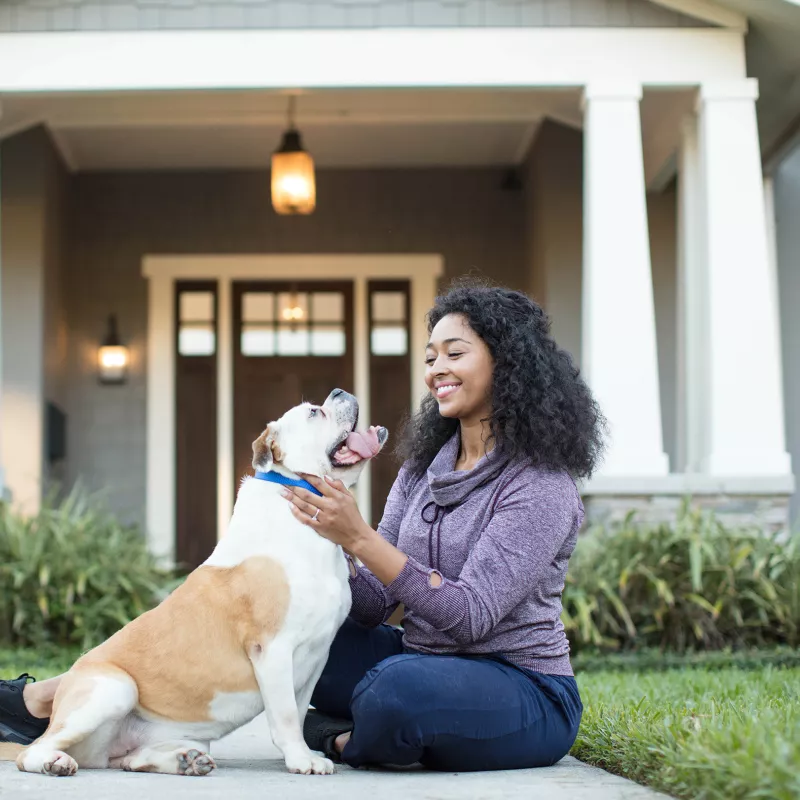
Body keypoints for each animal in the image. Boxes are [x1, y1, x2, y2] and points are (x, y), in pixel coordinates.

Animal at [3, 390, 388, 780]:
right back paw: (55, 762)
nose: (340, 392)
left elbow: (297, 707)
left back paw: (185, 760)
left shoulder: (315, 654)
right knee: (35, 750)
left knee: (128, 760)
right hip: (114, 688)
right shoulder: (273, 648)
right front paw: (301, 759)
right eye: (313, 412)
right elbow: (285, 717)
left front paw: (303, 754)